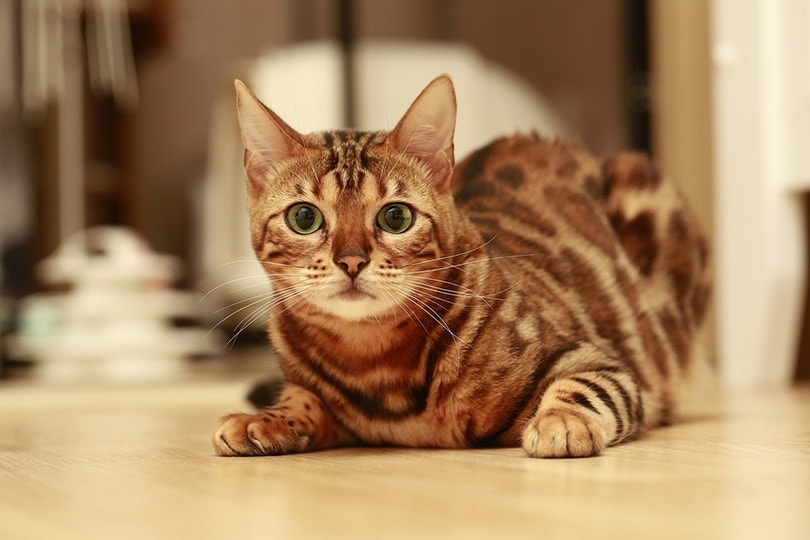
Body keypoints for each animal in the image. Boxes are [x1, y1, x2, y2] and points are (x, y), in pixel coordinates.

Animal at [211, 74, 712, 458]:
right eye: (304, 218)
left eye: (395, 217)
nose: (351, 260)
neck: (372, 363)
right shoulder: (308, 387)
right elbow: (299, 397)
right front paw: (263, 420)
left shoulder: (596, 359)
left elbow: (582, 388)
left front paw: (561, 420)